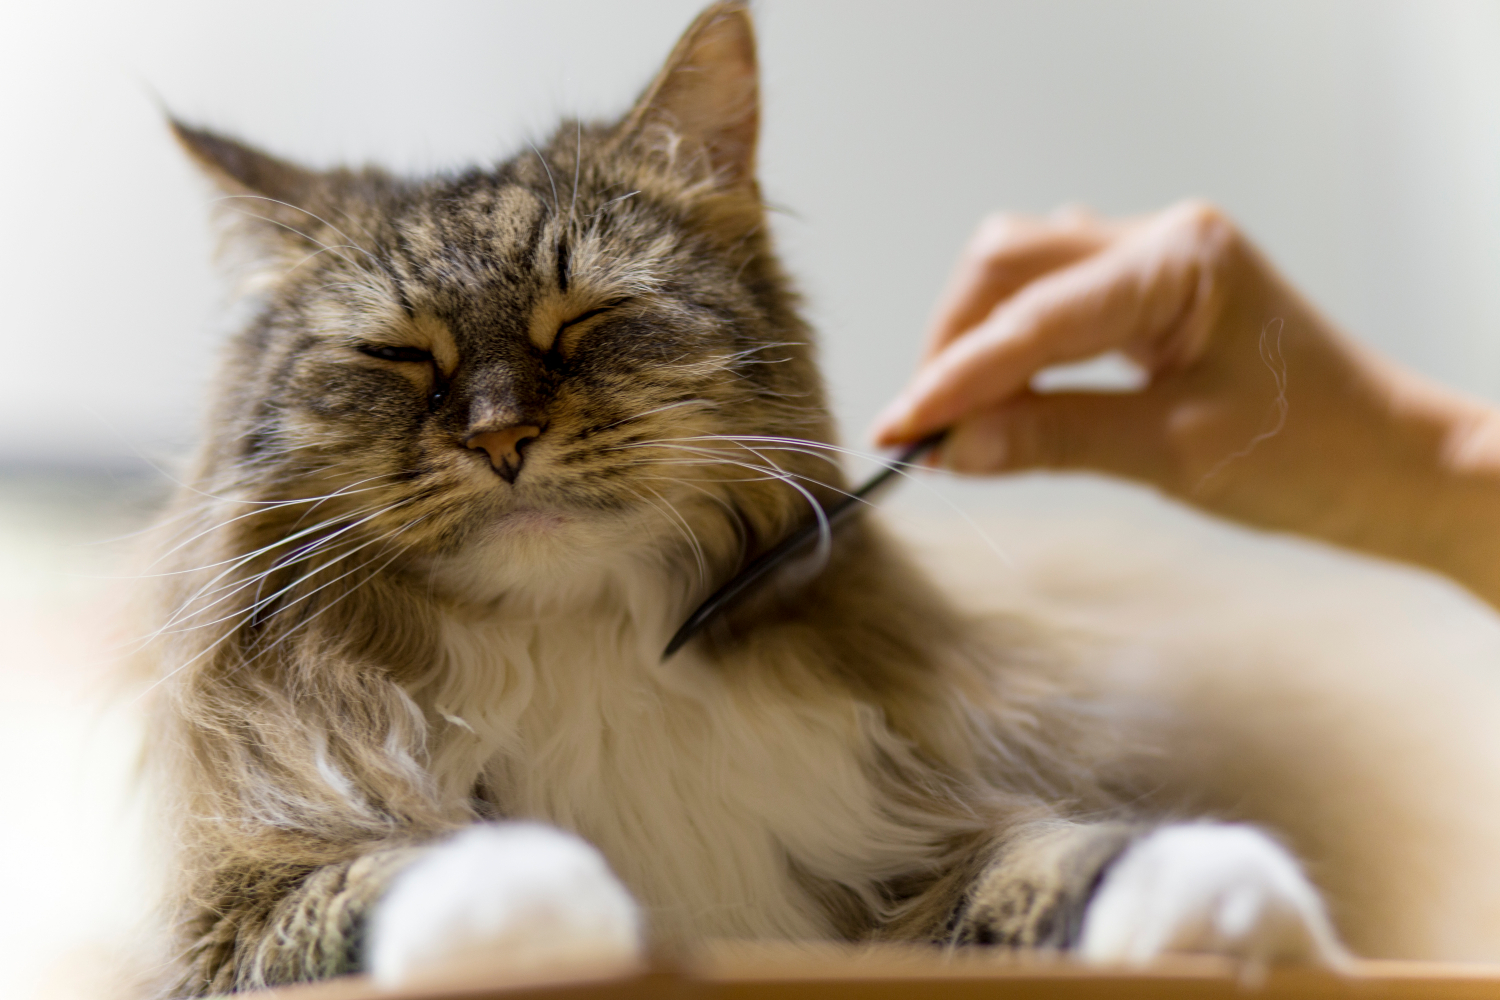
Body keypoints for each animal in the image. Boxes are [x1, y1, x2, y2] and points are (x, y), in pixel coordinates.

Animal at [146, 3, 1356, 995]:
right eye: (398, 357)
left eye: (586, 321)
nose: (499, 435)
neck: (584, 651)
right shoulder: (225, 924)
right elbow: (379, 877)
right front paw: (561, 901)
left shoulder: (891, 857)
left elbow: (1048, 857)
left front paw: (1223, 891)